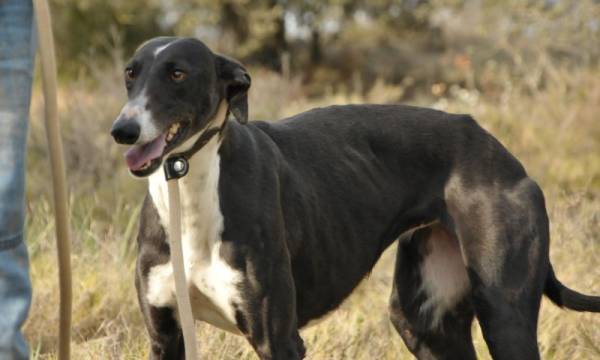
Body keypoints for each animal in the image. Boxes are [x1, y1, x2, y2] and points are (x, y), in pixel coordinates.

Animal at [110, 37, 596, 360]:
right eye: (130, 73)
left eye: (177, 73)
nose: (122, 131)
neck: (190, 191)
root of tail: (501, 151)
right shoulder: (165, 335)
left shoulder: (278, 339)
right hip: (426, 322)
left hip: (504, 314)